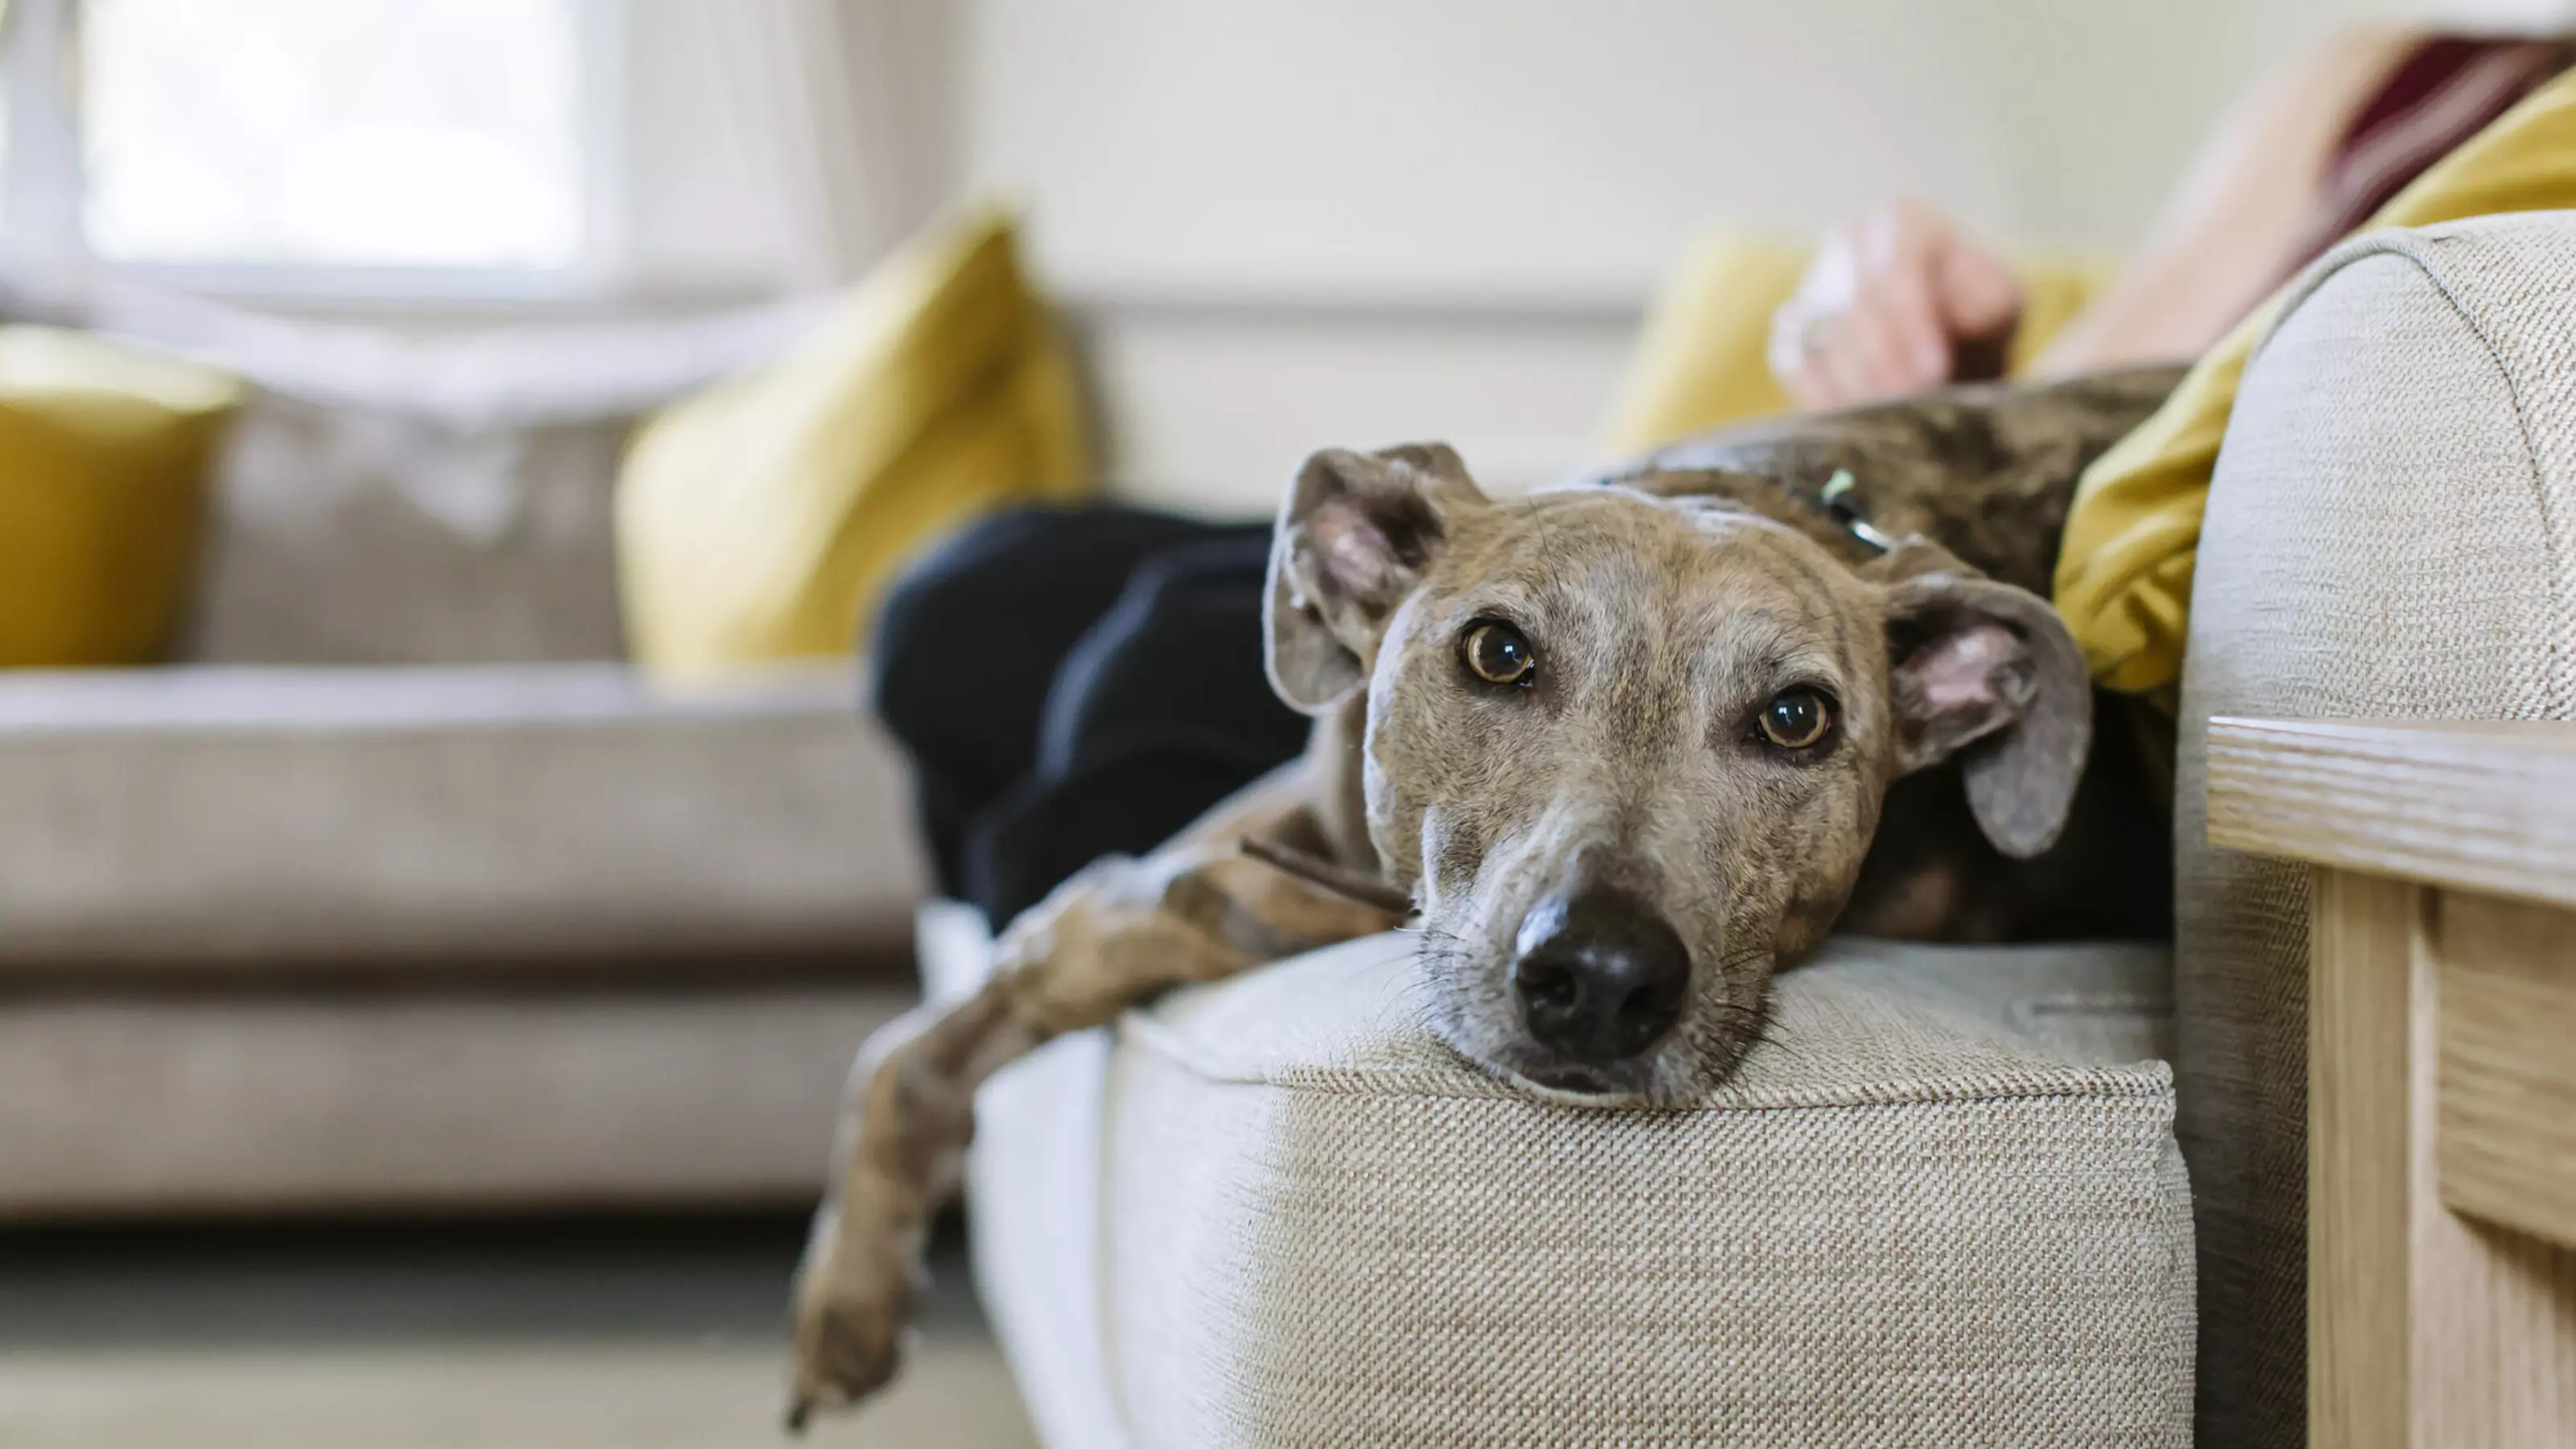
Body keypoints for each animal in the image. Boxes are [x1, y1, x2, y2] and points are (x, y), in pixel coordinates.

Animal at [778, 361, 2174, 1422]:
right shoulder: (1315, 812)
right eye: (1498, 652)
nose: (1602, 981)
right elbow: (949, 1020)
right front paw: (849, 1289)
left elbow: (1174, 906)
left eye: (1798, 719)